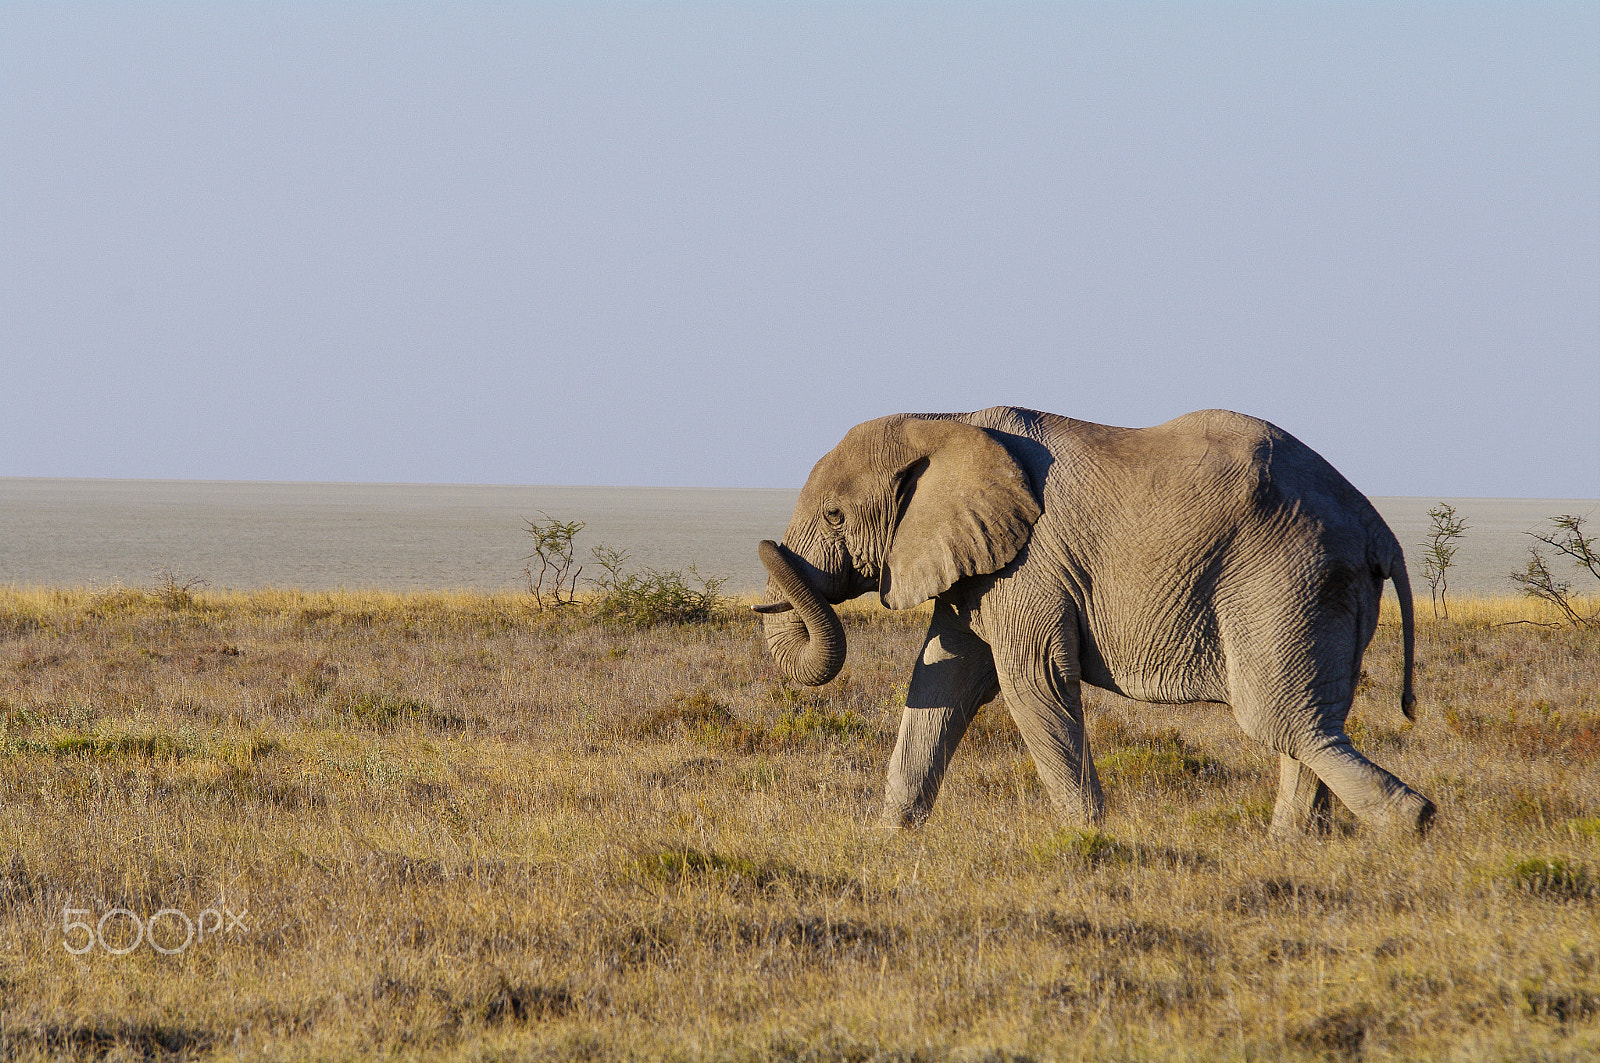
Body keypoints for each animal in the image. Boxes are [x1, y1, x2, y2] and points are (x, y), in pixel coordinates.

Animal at [752, 409, 1440, 832]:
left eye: (835, 516)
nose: (769, 554)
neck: (946, 419)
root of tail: (1377, 526)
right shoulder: (976, 563)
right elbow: (942, 682)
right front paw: (891, 837)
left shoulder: (1031, 564)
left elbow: (1032, 682)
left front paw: (1089, 841)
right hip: (1323, 591)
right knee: (1310, 722)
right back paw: (1293, 849)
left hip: (1286, 580)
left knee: (1284, 720)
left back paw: (1413, 824)